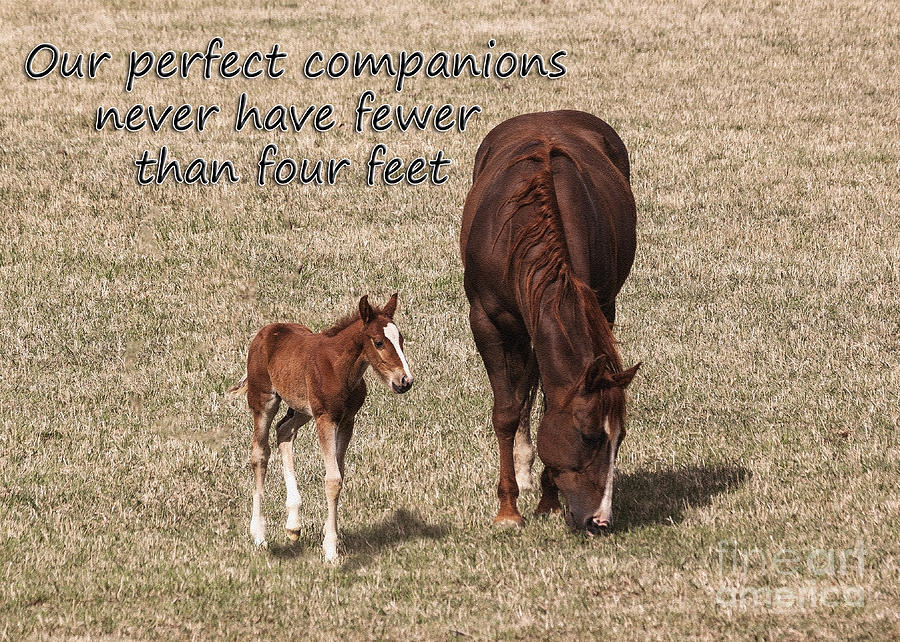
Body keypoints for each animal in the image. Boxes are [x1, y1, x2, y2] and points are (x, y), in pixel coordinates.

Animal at [227, 293, 413, 560]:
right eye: (378, 342)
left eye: (401, 339)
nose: (405, 381)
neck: (340, 369)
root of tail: (266, 331)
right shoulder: (325, 418)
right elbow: (332, 479)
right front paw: (331, 550)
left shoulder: (347, 420)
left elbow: (339, 474)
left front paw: (328, 536)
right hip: (264, 400)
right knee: (260, 454)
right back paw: (259, 534)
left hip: (302, 409)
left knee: (284, 431)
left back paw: (293, 524)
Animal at [460, 110, 640, 535]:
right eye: (588, 436)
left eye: (621, 438)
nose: (599, 520)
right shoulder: (486, 322)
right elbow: (506, 412)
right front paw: (508, 509)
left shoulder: (585, 311)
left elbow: (545, 401)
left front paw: (548, 501)